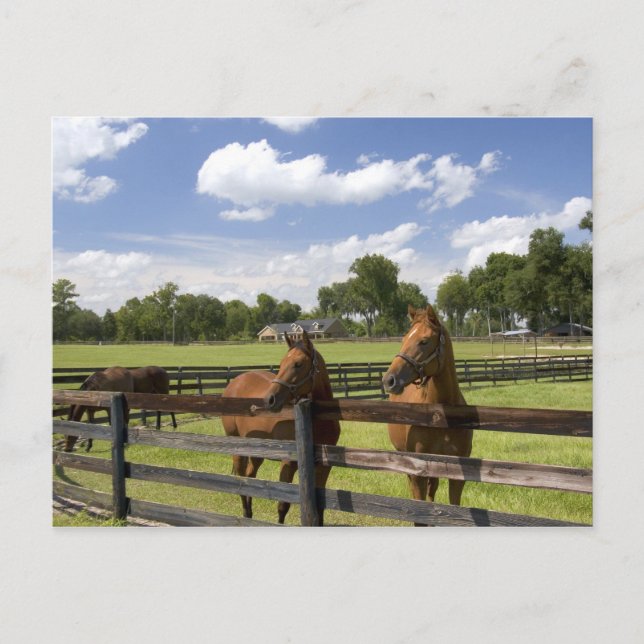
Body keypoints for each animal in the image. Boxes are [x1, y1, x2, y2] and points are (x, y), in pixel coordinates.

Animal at [221, 330, 340, 525]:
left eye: (298, 364)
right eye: (282, 363)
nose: (269, 399)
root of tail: (234, 382)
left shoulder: (324, 467)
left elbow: (321, 507)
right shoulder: (288, 464)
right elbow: (283, 505)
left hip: (257, 452)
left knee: (250, 476)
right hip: (237, 448)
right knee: (241, 480)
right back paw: (245, 514)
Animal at [382, 304, 473, 520]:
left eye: (424, 341)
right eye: (404, 339)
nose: (389, 380)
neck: (440, 416)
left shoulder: (457, 475)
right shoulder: (418, 473)